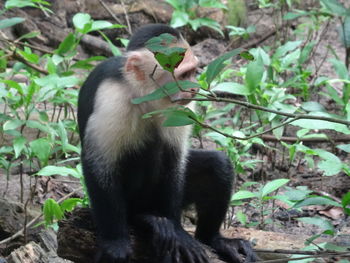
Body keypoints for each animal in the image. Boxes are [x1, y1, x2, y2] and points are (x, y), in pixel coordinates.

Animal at [77, 23, 258, 263]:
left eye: (193, 72)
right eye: (182, 74)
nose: (194, 88)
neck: (143, 95)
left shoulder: (179, 108)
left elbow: (175, 162)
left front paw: (177, 231)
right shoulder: (111, 99)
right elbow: (99, 165)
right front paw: (115, 242)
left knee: (216, 163)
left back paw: (211, 239)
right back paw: (143, 218)